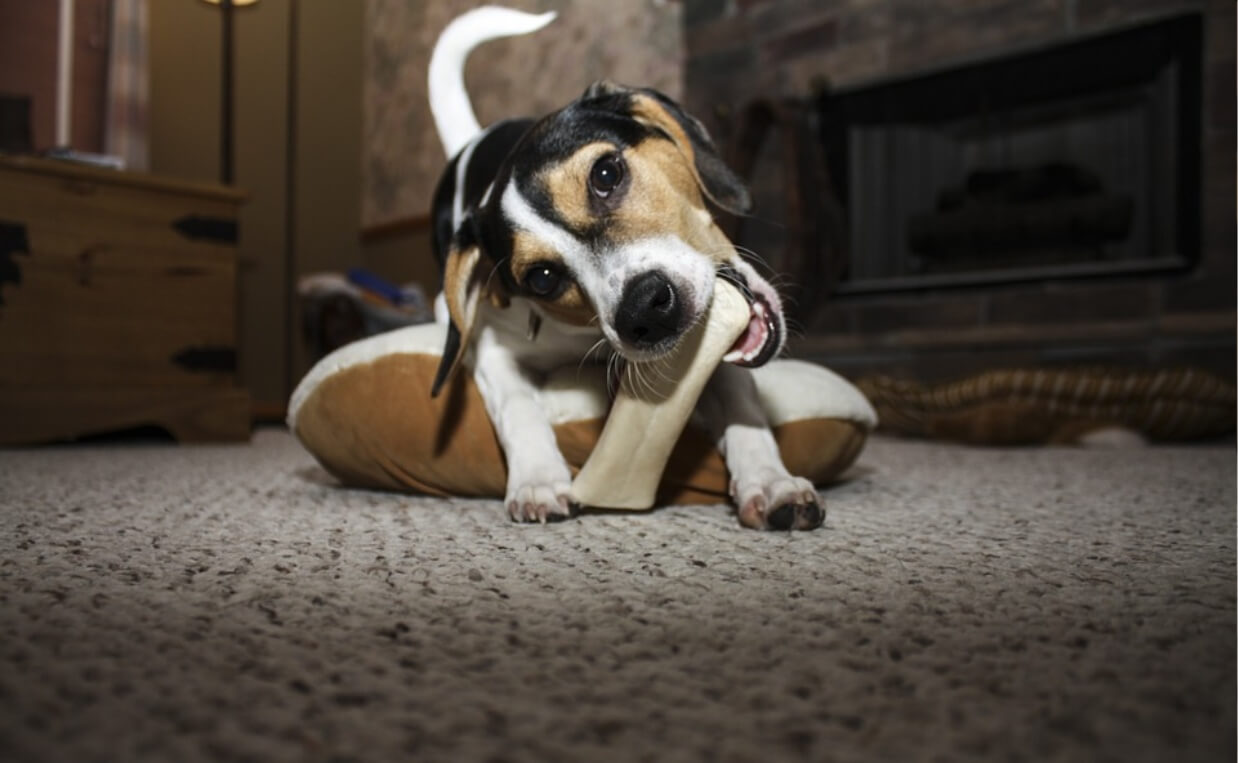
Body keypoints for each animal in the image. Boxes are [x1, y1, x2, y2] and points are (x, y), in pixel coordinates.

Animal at [425, 5, 822, 530]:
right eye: (542, 279)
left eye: (606, 174)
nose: (646, 312)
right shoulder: (492, 348)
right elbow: (518, 407)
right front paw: (537, 481)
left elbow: (742, 404)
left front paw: (771, 480)